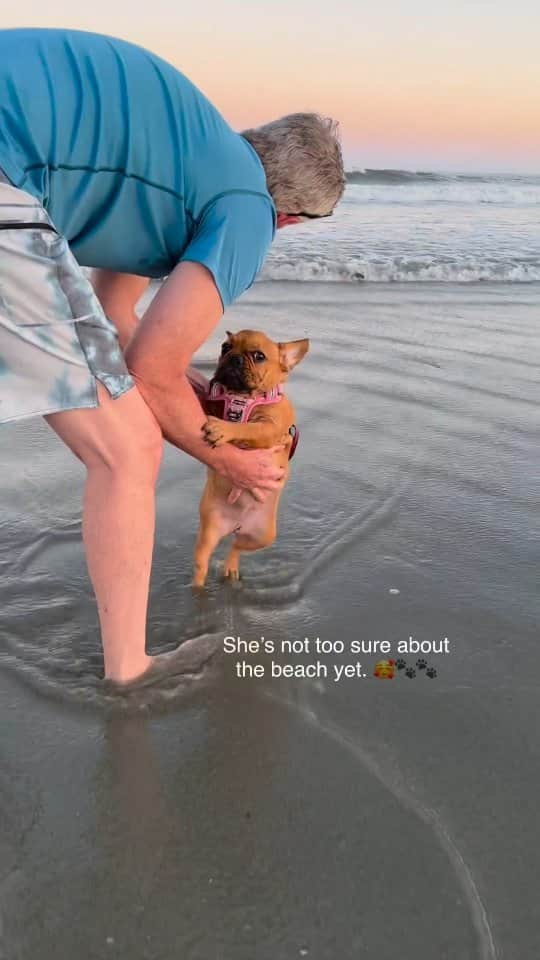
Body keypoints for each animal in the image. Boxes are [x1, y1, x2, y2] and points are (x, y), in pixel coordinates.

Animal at [191, 328, 308, 584]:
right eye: (225, 347)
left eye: (258, 356)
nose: (233, 358)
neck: (242, 396)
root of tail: (237, 525)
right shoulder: (213, 402)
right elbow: (205, 401)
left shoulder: (268, 427)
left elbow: (247, 428)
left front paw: (224, 429)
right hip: (209, 531)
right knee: (203, 561)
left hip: (263, 536)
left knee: (236, 547)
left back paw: (231, 567)